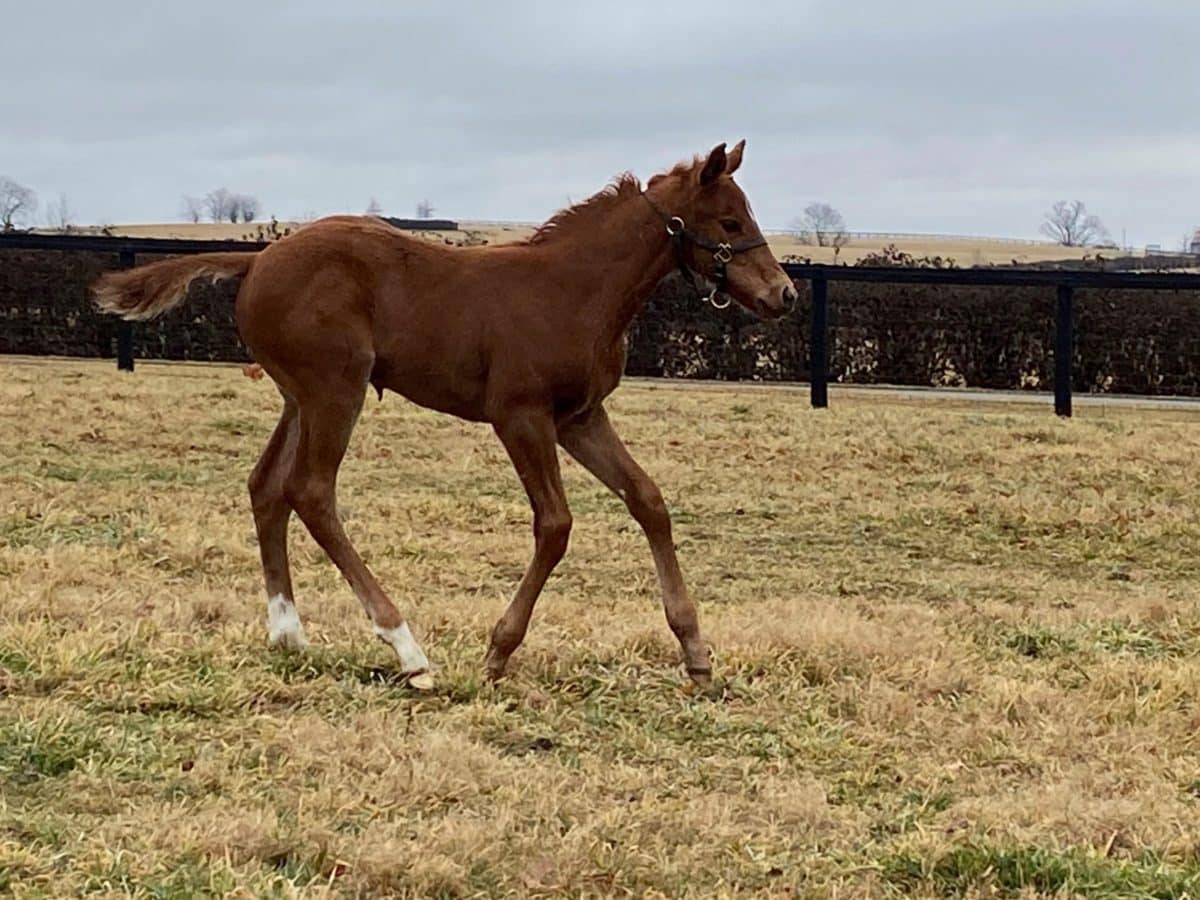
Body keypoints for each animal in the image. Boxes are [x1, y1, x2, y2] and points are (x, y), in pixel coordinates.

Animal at [96, 141, 796, 691]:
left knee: (266, 487)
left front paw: (696, 653)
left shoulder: (581, 418)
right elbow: (556, 525)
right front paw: (498, 651)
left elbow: (649, 501)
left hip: (300, 396)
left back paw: (288, 633)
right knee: (311, 491)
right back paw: (406, 648)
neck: (575, 290)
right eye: (729, 221)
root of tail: (258, 260)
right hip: (335, 389)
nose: (784, 293)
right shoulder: (520, 416)